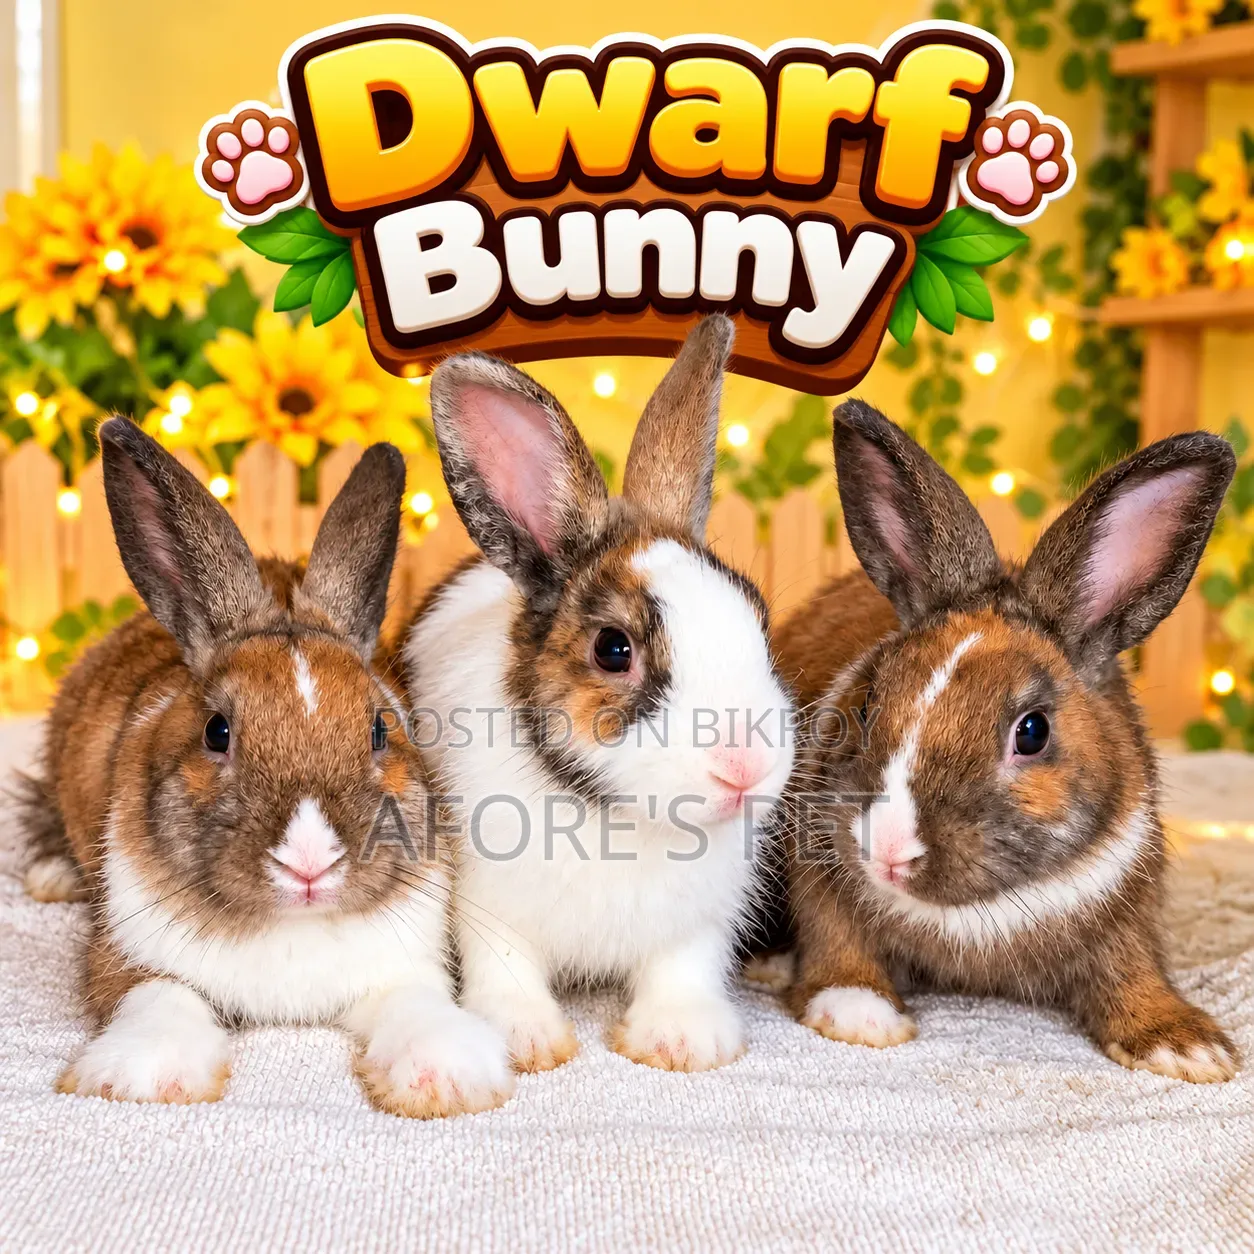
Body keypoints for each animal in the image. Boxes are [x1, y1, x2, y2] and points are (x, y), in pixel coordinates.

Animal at [19, 418, 514, 1116]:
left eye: (380, 728)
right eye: (217, 732)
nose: (309, 861)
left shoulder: (407, 963)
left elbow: (417, 1004)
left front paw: (445, 1077)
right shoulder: (127, 958)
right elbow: (161, 998)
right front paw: (145, 1078)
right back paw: (52, 875)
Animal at [403, 316, 796, 1073]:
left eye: (758, 615)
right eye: (614, 649)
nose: (745, 767)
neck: (621, 816)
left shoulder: (700, 918)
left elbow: (683, 968)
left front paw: (682, 1041)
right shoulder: (488, 908)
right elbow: (506, 969)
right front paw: (524, 1039)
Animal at [770, 398, 1240, 1083]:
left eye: (1033, 732)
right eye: (867, 702)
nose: (887, 850)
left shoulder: (1130, 905)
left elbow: (1133, 970)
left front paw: (1186, 1048)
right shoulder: (818, 876)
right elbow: (838, 940)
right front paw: (858, 1013)